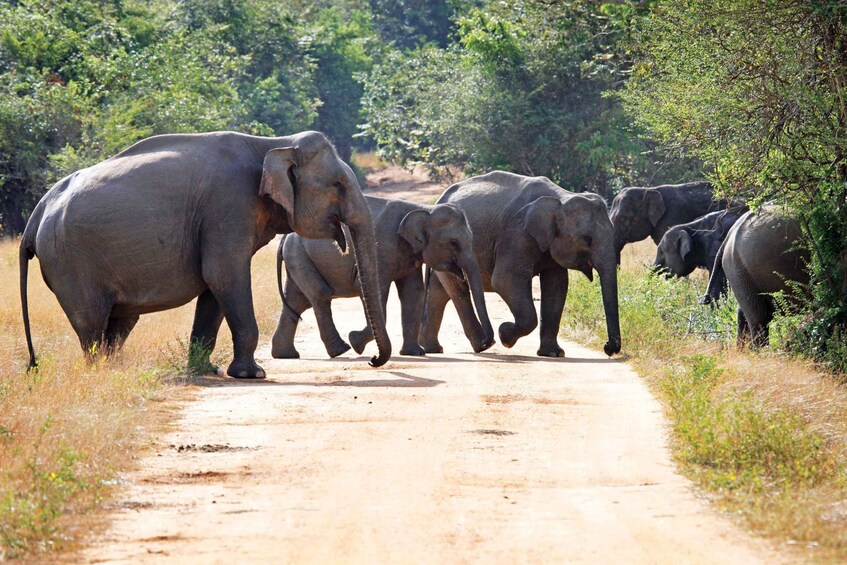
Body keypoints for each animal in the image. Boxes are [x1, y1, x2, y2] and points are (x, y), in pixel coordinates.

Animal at [19, 131, 390, 376]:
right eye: (338, 186)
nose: (371, 359)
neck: (272, 143)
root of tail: (37, 213)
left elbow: (214, 287)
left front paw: (207, 371)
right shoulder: (227, 206)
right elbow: (224, 274)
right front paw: (253, 375)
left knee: (119, 323)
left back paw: (114, 371)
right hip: (71, 262)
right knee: (92, 323)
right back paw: (99, 373)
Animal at [270, 196, 496, 360]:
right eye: (454, 243)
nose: (488, 343)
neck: (424, 209)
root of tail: (285, 238)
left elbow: (413, 294)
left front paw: (415, 353)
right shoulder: (383, 246)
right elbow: (377, 291)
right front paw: (356, 342)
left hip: (298, 258)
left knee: (296, 301)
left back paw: (286, 355)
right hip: (300, 256)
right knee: (319, 295)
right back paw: (342, 350)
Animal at [420, 170, 624, 360]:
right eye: (587, 239)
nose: (607, 348)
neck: (561, 198)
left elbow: (557, 285)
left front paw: (553, 354)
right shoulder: (516, 233)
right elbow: (504, 280)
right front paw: (505, 335)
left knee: (439, 292)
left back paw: (433, 348)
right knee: (458, 291)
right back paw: (482, 345)